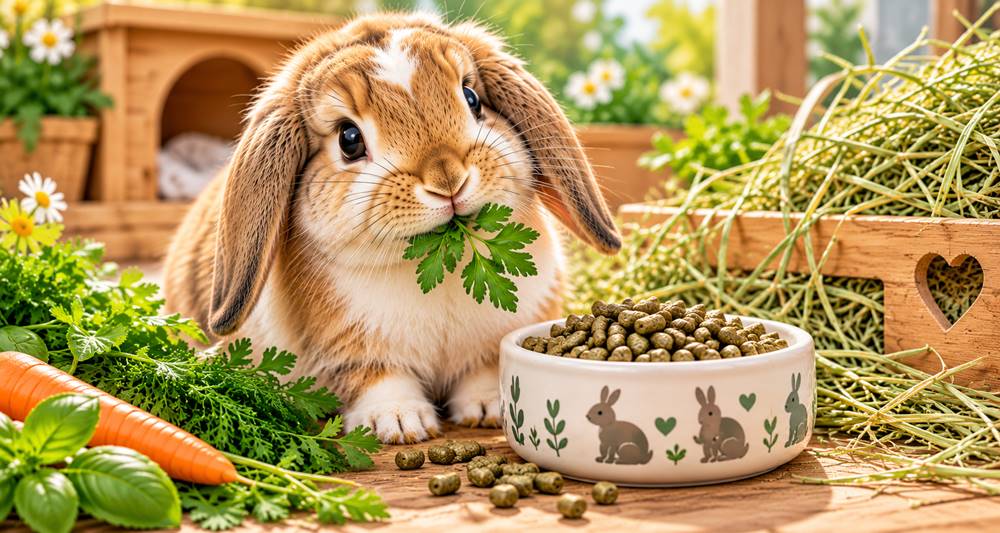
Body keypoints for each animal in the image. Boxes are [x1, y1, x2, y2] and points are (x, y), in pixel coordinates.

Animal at [162, 13, 621, 445]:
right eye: (349, 138)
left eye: (472, 98)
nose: (447, 179)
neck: (444, 268)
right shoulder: (354, 354)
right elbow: (379, 380)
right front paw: (401, 424)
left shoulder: (491, 345)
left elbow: (484, 371)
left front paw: (488, 409)